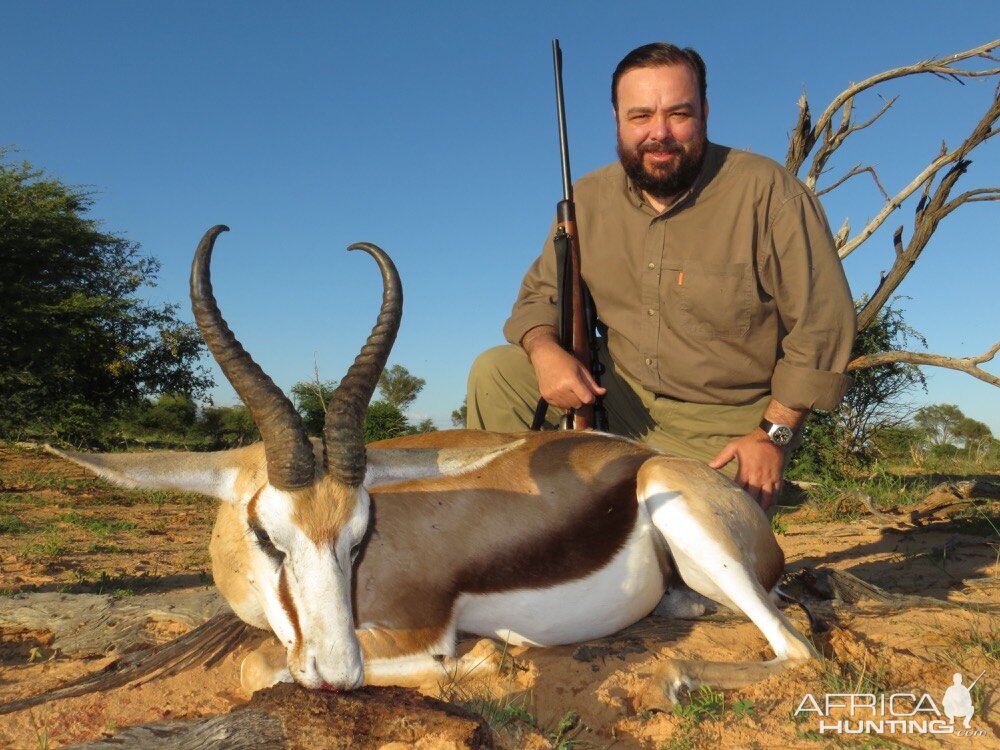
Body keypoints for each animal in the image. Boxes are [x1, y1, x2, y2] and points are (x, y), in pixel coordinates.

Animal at [50, 226, 816, 708]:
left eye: (360, 537)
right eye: (269, 535)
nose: (336, 674)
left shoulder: (414, 627)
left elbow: (260, 661)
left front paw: (482, 658)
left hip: (687, 519)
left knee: (800, 649)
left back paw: (666, 681)